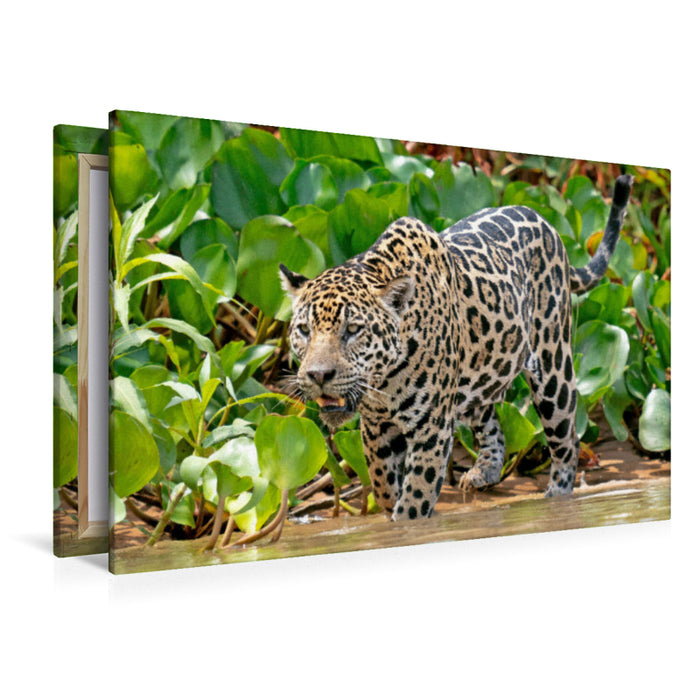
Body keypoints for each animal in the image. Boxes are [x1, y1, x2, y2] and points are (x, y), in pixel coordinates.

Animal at [279, 174, 633, 521]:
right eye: (304, 330)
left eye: (352, 330)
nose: (318, 375)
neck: (385, 380)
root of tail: (543, 219)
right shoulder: (376, 427)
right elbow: (382, 485)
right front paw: (390, 507)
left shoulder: (431, 428)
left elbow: (414, 501)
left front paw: (406, 520)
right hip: (479, 378)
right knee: (493, 424)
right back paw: (483, 472)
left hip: (553, 370)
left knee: (566, 442)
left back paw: (557, 497)